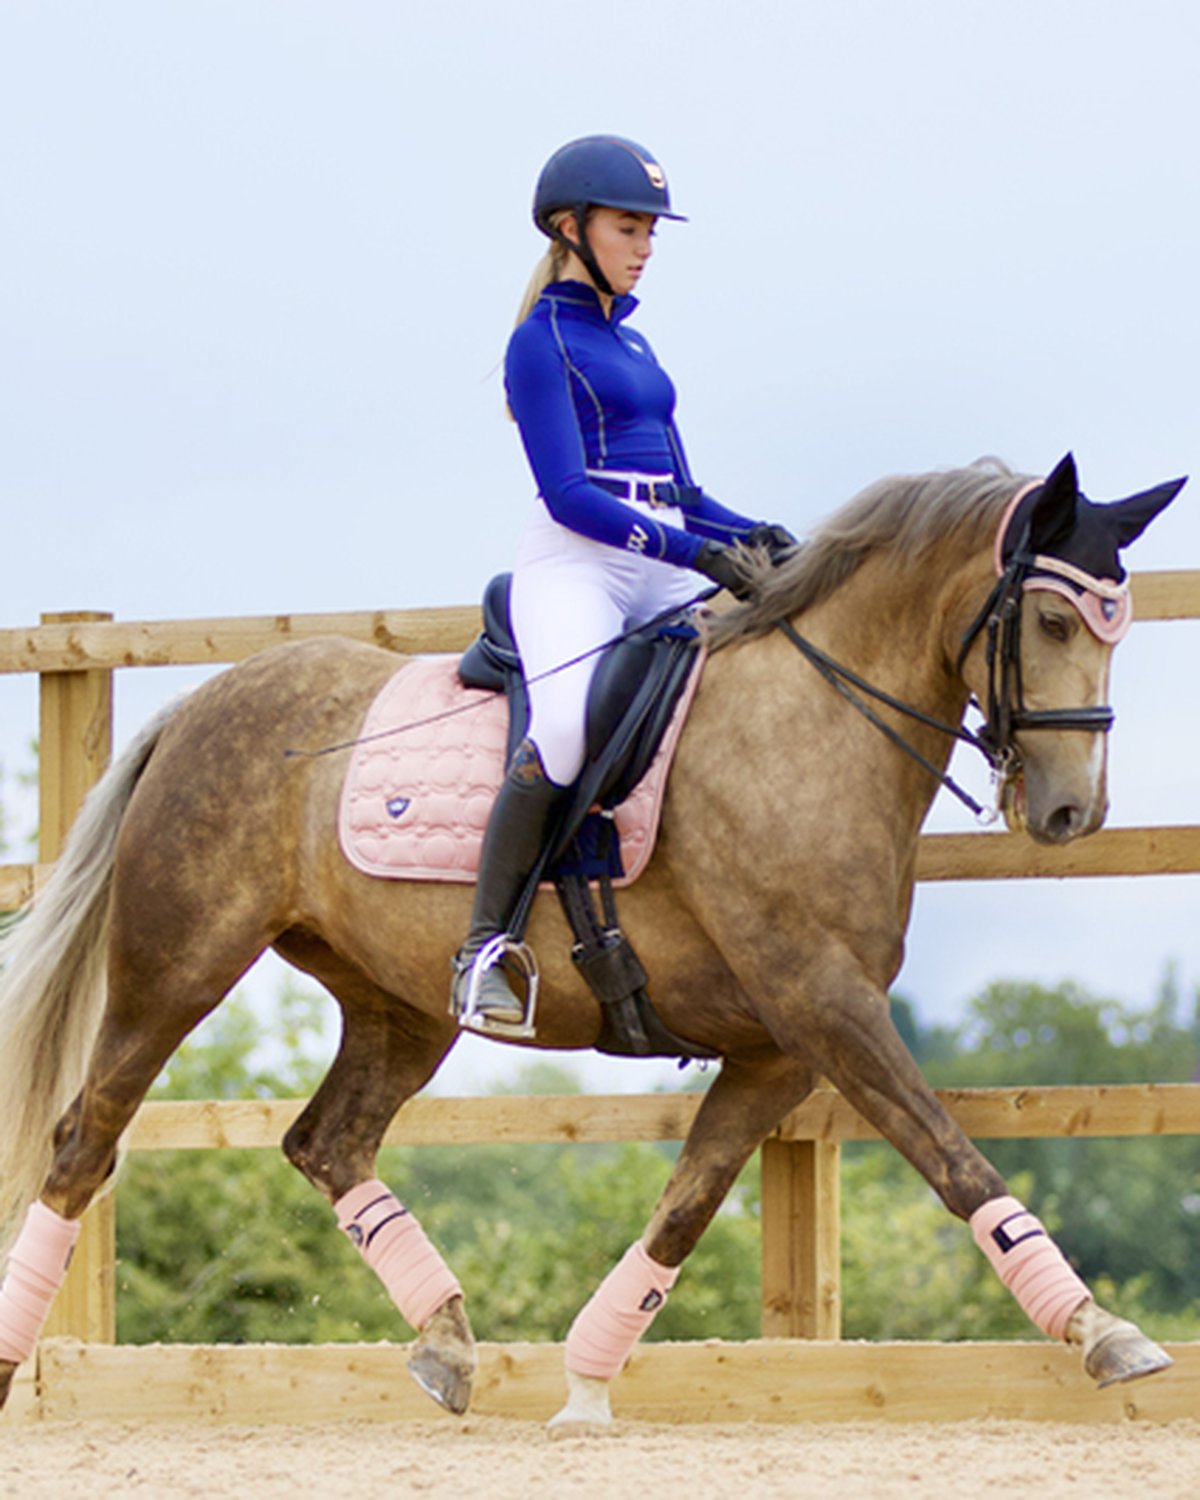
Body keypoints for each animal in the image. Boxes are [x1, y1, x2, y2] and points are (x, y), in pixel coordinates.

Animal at [0, 453, 1185, 1430]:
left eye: (1114, 629)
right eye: (1053, 623)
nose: (1073, 812)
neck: (812, 720)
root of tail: (202, 704)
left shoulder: (775, 1045)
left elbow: (684, 1212)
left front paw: (583, 1385)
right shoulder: (825, 1005)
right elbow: (951, 1155)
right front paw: (1102, 1334)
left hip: (399, 1005)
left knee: (326, 1142)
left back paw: (447, 1342)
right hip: (175, 967)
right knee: (84, 1141)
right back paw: (16, 1365)